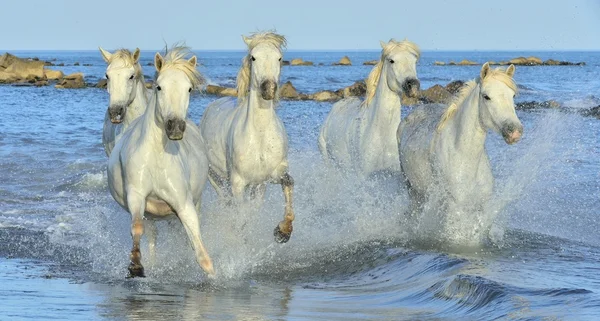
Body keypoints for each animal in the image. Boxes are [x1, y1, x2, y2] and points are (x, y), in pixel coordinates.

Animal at [107, 46, 213, 276]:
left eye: (189, 89)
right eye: (159, 87)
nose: (175, 127)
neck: (156, 156)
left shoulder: (184, 203)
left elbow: (200, 249)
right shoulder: (137, 196)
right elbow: (137, 227)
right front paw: (136, 265)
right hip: (151, 214)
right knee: (152, 235)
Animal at [202, 31, 296, 242]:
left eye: (280, 58)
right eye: (253, 57)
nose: (268, 89)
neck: (259, 136)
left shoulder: (273, 174)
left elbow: (288, 183)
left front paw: (283, 231)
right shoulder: (237, 183)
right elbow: (242, 216)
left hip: (258, 185)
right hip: (215, 178)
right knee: (226, 201)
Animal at [398, 62, 520, 238]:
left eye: (513, 95)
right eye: (486, 96)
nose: (515, 131)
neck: (464, 156)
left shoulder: (481, 206)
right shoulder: (454, 208)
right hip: (412, 189)